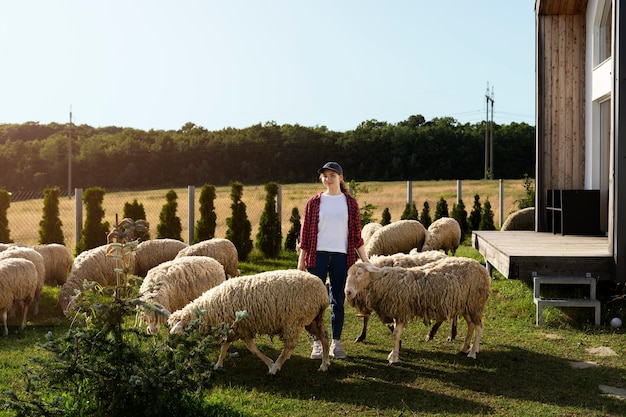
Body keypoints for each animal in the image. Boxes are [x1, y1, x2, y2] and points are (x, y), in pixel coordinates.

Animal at [168, 268, 330, 376]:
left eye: (177, 333)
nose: (169, 347)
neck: (210, 309)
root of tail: (322, 291)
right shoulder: (235, 329)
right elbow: (225, 346)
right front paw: (218, 364)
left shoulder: (241, 327)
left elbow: (251, 348)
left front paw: (270, 363)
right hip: (313, 319)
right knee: (324, 337)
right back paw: (324, 364)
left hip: (294, 321)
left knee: (289, 348)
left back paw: (275, 368)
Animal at [344, 255, 490, 362]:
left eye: (359, 273)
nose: (348, 292)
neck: (385, 281)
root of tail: (481, 268)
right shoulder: (397, 311)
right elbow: (395, 333)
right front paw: (393, 353)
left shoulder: (401, 311)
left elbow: (396, 334)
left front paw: (393, 357)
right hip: (467, 306)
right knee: (471, 325)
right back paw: (465, 348)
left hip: (475, 304)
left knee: (479, 328)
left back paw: (472, 352)